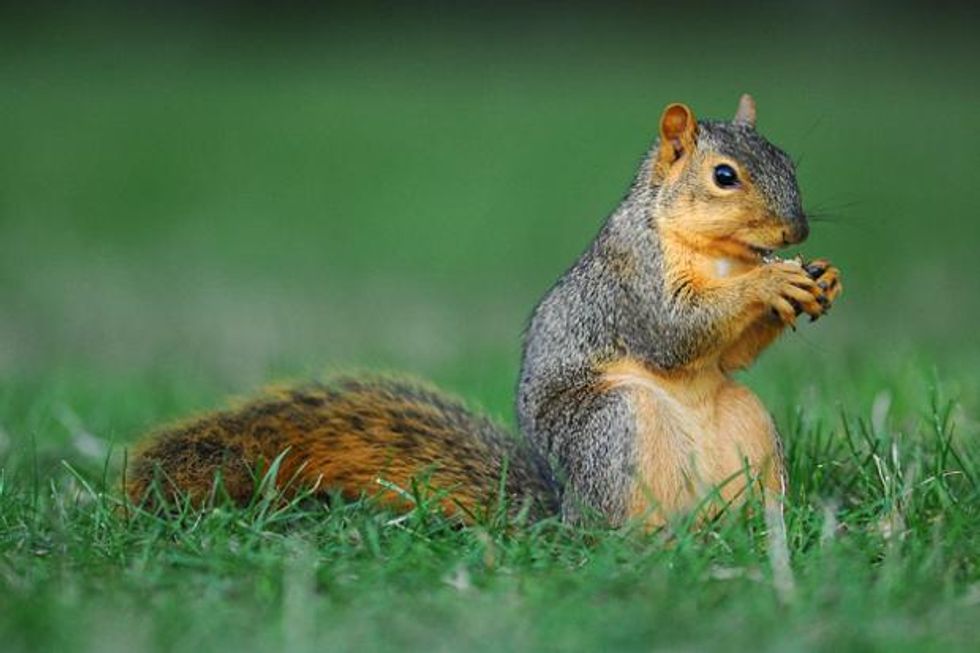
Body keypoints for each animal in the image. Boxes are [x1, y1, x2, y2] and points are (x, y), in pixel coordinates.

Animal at [127, 94, 842, 528]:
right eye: (724, 176)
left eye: (787, 161)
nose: (798, 233)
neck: (720, 255)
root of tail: (563, 516)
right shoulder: (630, 282)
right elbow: (673, 331)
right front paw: (769, 284)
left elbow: (730, 353)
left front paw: (820, 280)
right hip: (613, 426)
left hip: (748, 427)